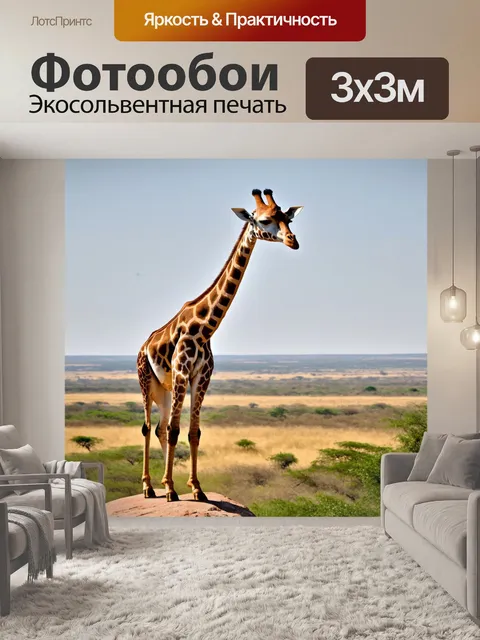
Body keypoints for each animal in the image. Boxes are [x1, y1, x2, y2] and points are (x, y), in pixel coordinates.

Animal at [137, 189, 303, 502]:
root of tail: (143, 345)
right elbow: (178, 431)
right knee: (149, 427)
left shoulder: (201, 377)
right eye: (264, 220)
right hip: (146, 381)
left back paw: (162, 483)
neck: (204, 328)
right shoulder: (182, 372)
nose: (293, 241)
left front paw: (195, 488)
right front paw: (172, 490)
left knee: (161, 428)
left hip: (163, 389)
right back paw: (150, 487)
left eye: (287, 219)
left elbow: (193, 432)